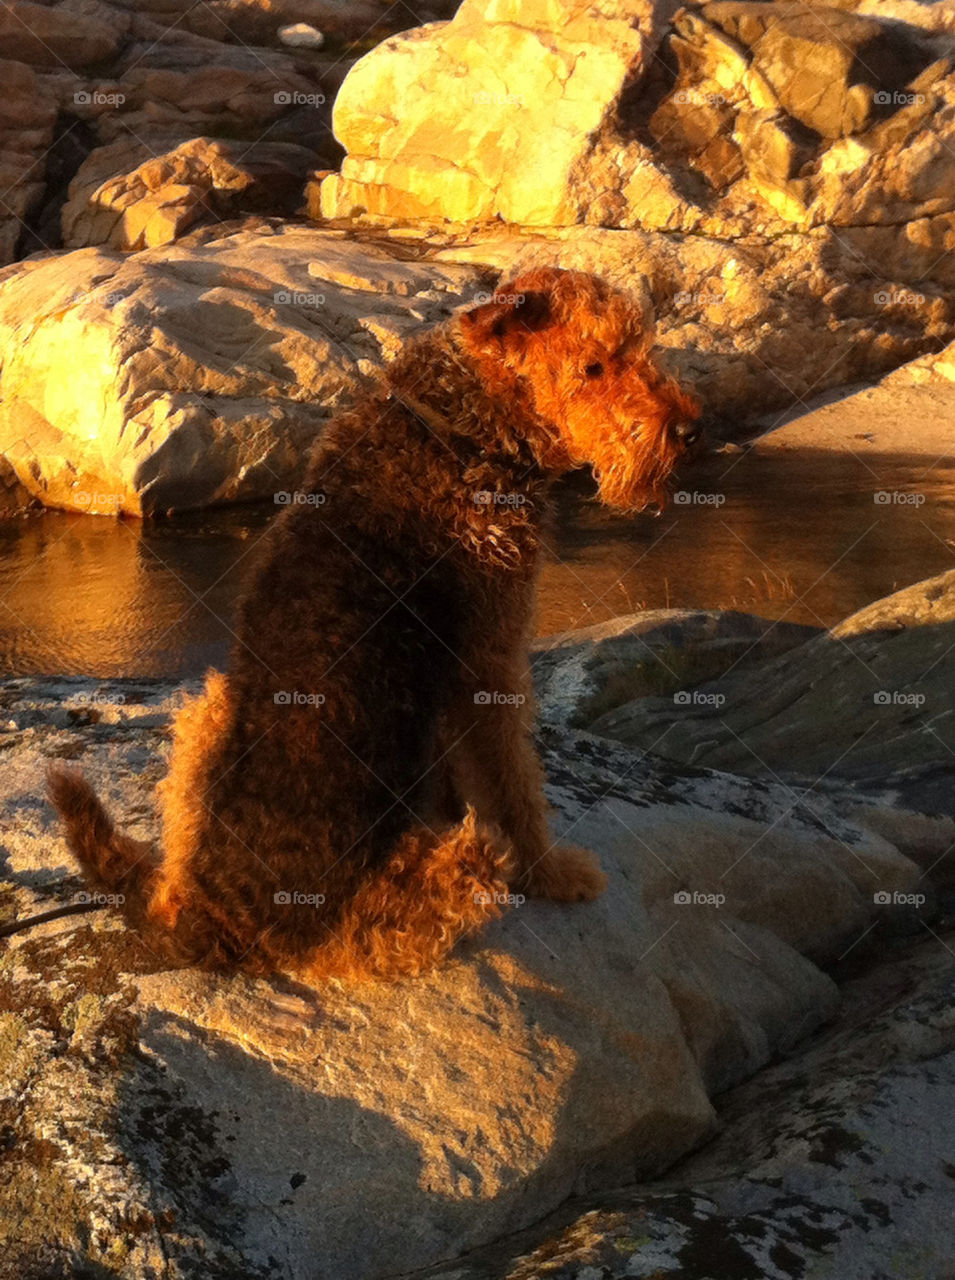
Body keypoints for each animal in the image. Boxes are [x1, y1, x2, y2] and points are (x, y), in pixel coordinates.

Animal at [46, 267, 701, 977]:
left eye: (640, 347)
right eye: (593, 365)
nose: (690, 431)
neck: (460, 426)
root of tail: (220, 923)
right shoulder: (491, 658)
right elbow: (516, 787)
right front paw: (553, 873)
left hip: (208, 707)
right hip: (452, 870)